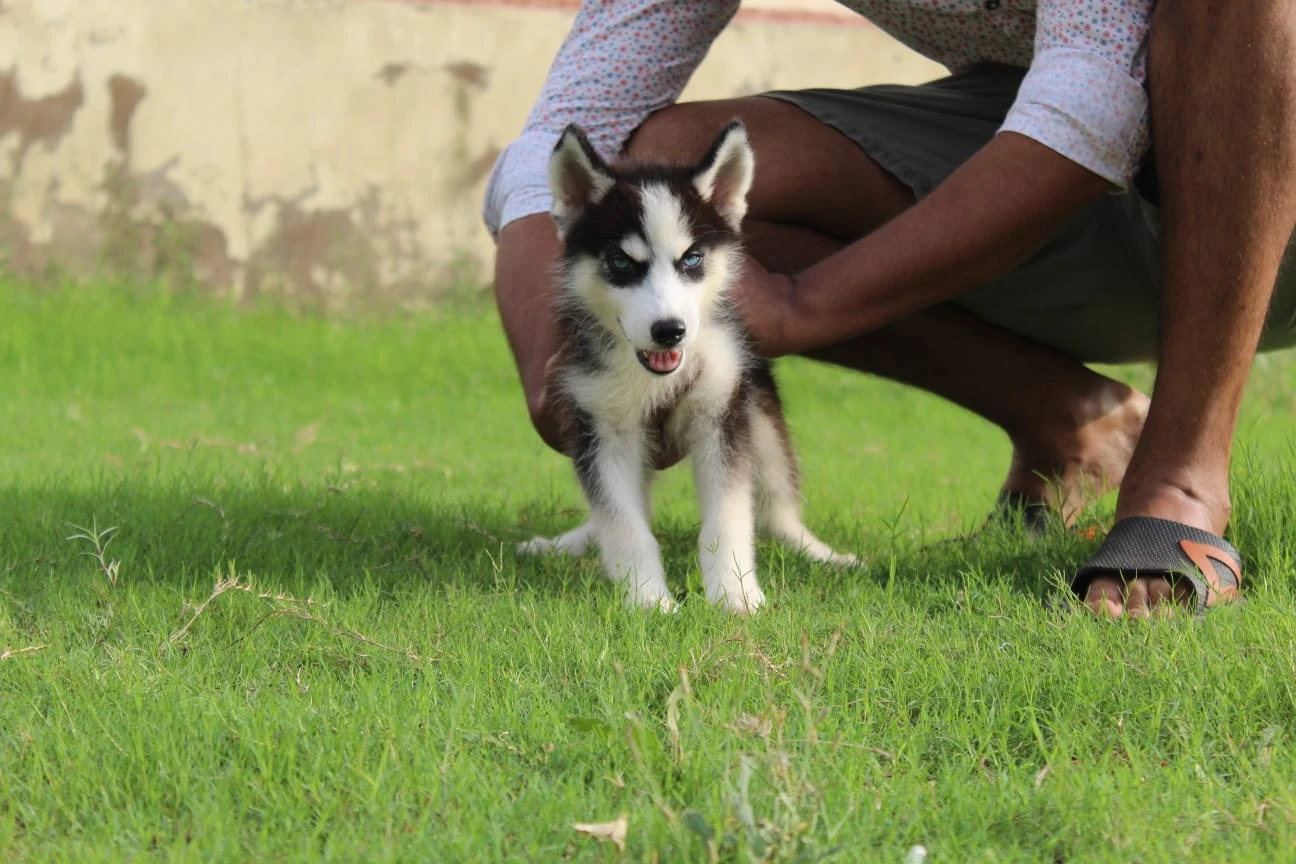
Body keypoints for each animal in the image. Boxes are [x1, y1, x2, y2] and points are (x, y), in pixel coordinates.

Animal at [515, 119, 860, 613]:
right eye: (621, 262)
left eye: (691, 259)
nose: (669, 331)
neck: (651, 378)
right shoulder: (600, 425)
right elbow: (623, 523)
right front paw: (647, 600)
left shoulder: (721, 412)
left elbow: (729, 518)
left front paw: (736, 595)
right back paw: (570, 543)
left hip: (757, 410)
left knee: (776, 505)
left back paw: (818, 552)